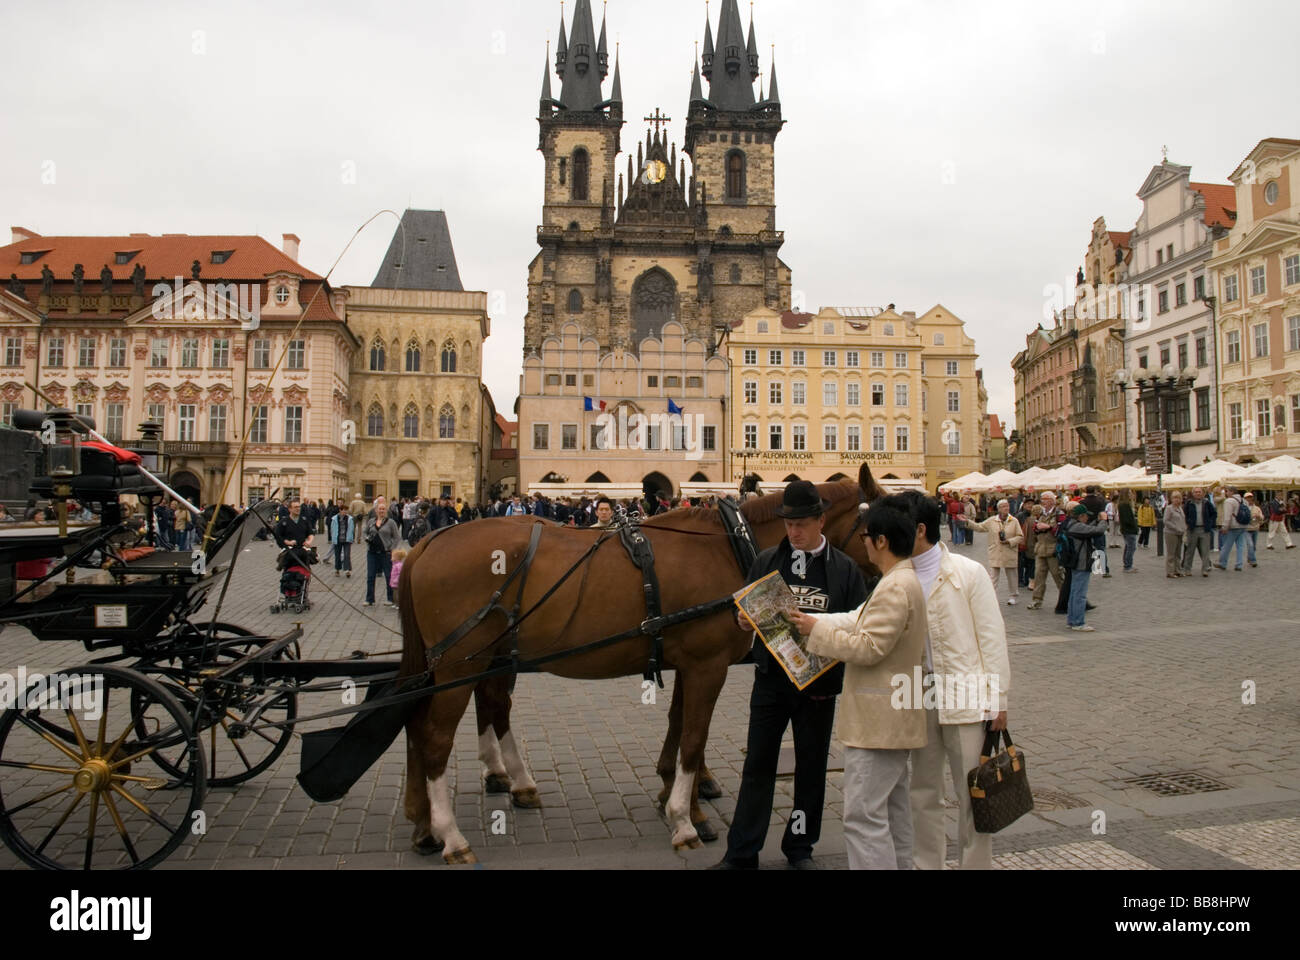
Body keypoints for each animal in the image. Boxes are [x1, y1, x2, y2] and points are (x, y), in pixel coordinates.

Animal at [400, 470, 878, 858]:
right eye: (882, 526)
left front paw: (683, 802)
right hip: (460, 666)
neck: (730, 545)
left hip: (474, 661)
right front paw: (685, 819)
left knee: (445, 717)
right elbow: (693, 738)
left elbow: (679, 726)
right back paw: (452, 835)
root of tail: (428, 542)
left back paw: (434, 821)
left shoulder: (689, 662)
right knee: (435, 736)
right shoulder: (707, 665)